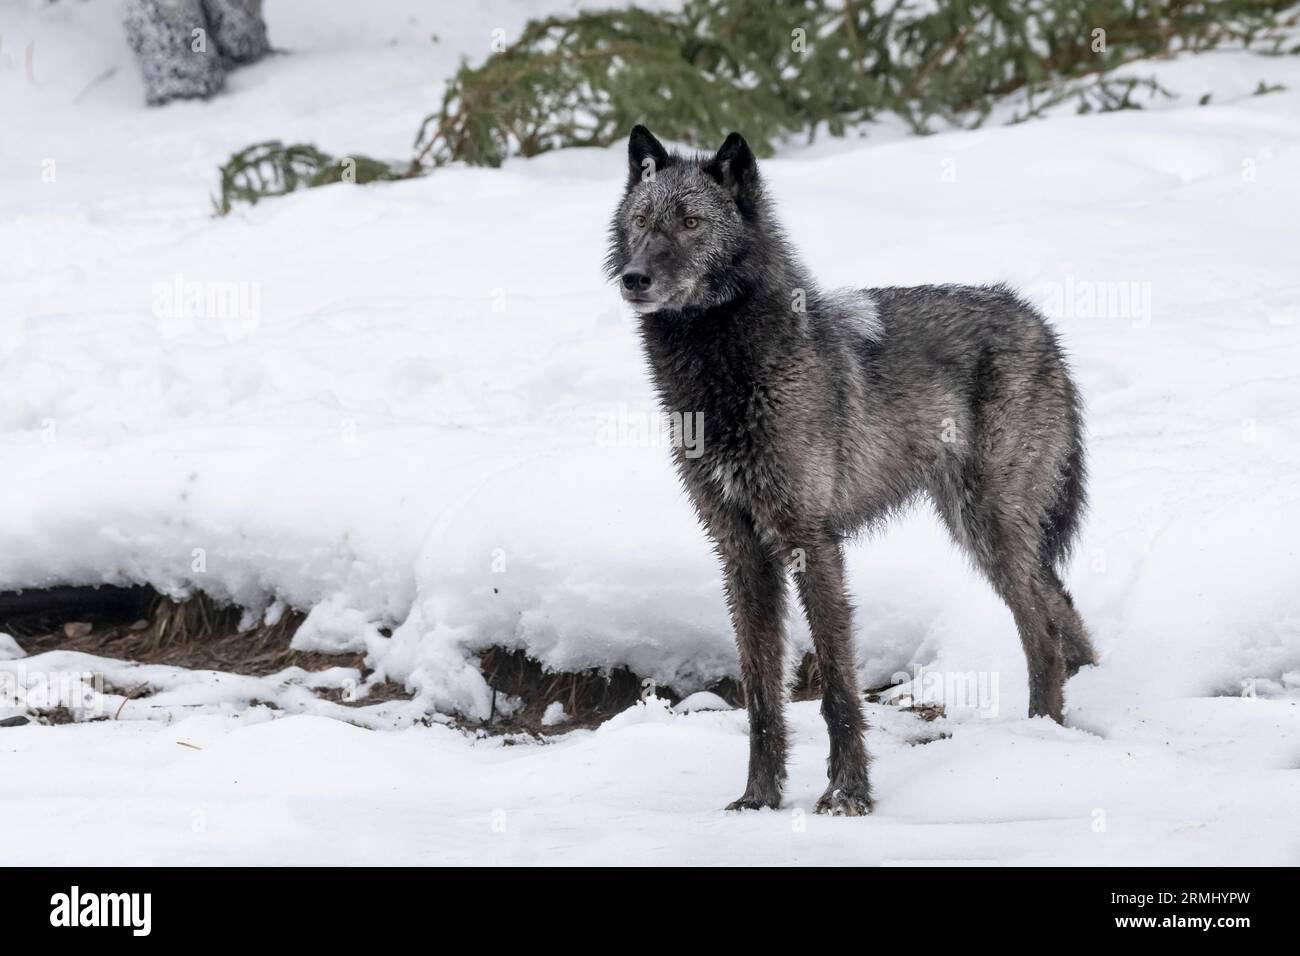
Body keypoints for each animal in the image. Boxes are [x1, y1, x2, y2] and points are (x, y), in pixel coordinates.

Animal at [606, 126, 1095, 815]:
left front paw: (848, 795)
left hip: (988, 527)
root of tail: (1038, 321)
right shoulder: (739, 550)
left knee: (1042, 631)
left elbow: (838, 684)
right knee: (1061, 603)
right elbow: (761, 692)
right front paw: (758, 798)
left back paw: (1039, 743)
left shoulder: (811, 540)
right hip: (982, 529)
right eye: (642, 222)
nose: (635, 278)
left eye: (692, 222)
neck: (728, 369)